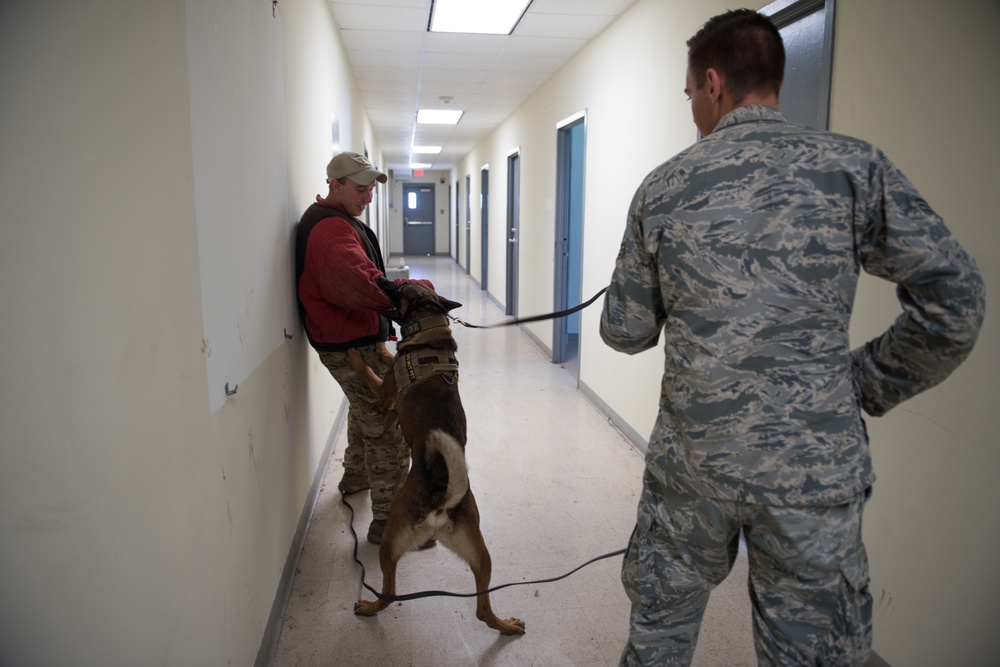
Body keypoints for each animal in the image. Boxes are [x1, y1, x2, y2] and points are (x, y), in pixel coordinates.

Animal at [348, 280, 528, 636]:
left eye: (400, 285)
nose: (381, 279)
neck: (429, 326)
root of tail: (442, 499)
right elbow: (387, 355)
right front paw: (383, 347)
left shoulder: (386, 393)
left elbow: (370, 370)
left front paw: (361, 353)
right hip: (482, 557)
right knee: (482, 611)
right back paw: (506, 625)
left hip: (390, 543)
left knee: (390, 593)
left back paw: (369, 607)